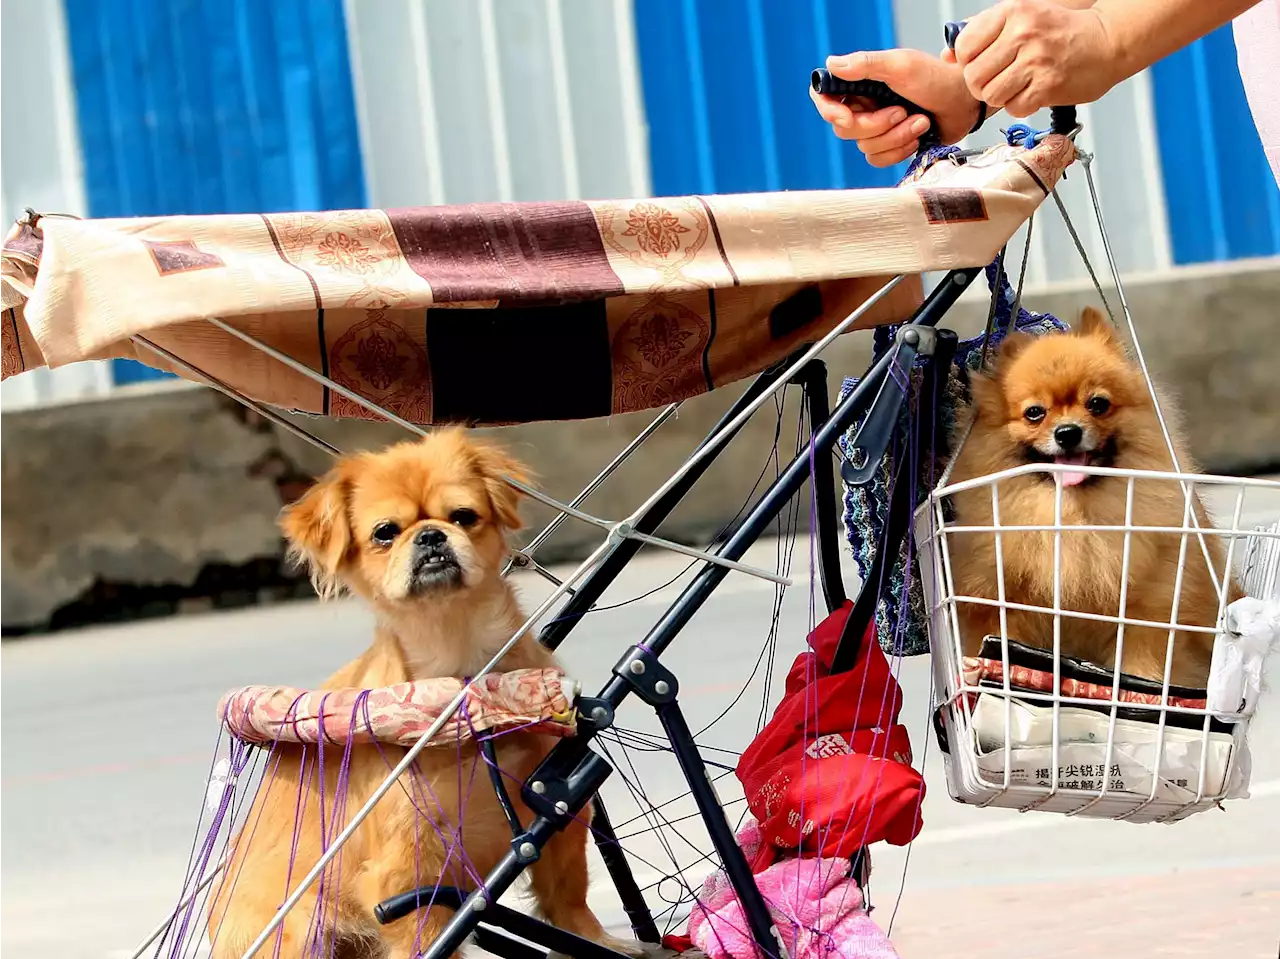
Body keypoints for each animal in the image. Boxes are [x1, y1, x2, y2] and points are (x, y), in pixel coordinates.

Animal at [212, 430, 650, 957]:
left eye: (463, 516)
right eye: (385, 532)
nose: (430, 535)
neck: (461, 669)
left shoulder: (558, 811)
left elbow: (568, 891)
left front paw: (593, 939)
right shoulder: (408, 869)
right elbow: (424, 939)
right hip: (305, 927)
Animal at [952, 308, 1239, 686]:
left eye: (1098, 404)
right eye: (1034, 413)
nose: (1068, 432)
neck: (1076, 518)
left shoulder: (1148, 619)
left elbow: (1142, 674)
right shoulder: (1002, 610)